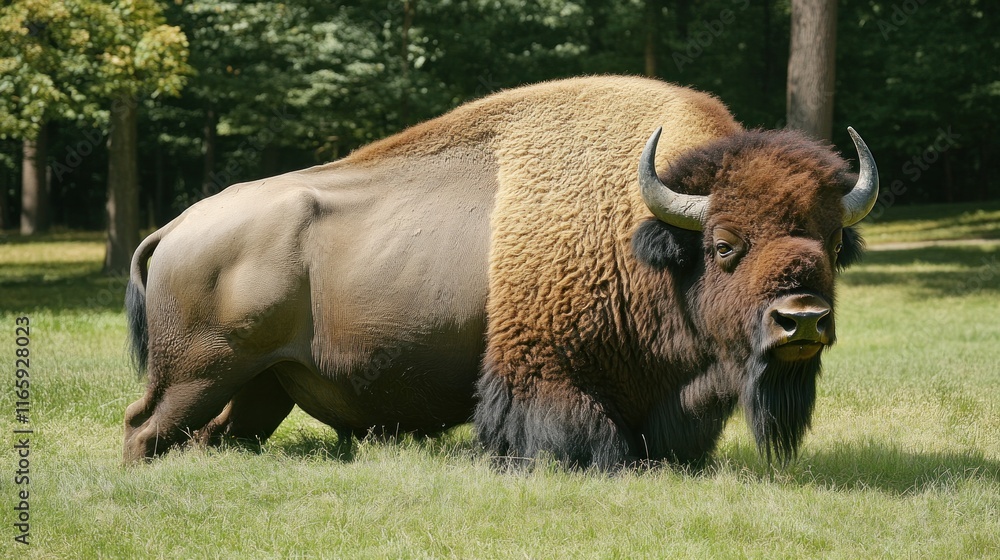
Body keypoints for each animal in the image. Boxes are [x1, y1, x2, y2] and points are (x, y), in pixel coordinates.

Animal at [123, 76, 877, 468]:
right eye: (724, 245)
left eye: (833, 241)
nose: (802, 321)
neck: (640, 234)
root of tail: (176, 228)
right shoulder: (546, 372)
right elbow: (582, 435)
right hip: (196, 374)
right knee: (141, 426)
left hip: (259, 388)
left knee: (214, 435)